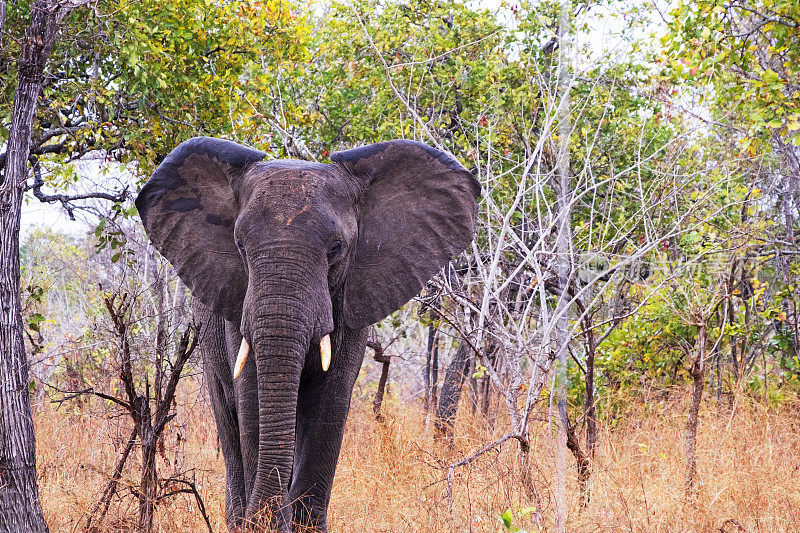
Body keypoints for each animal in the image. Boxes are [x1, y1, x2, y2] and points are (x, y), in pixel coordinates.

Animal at [134, 138, 478, 532]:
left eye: (336, 249)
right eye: (240, 246)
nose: (267, 519)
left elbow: (329, 402)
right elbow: (252, 402)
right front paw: (265, 523)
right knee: (228, 416)